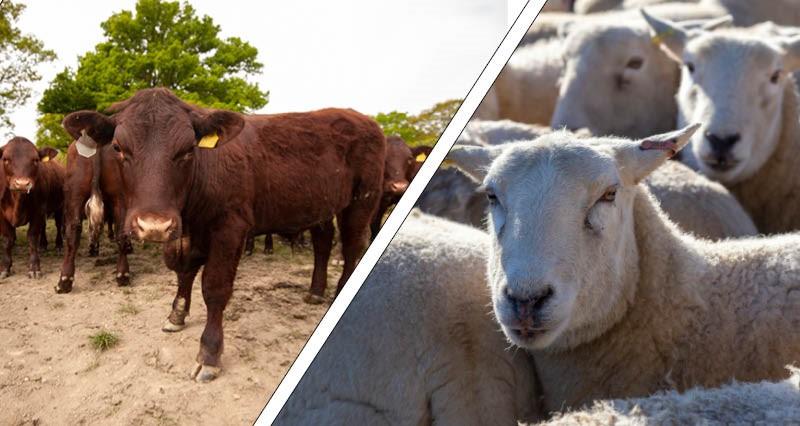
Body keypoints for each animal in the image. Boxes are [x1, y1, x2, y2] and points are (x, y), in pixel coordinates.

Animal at [0, 137, 65, 278]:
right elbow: (7, 239)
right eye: (6, 159)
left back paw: (59, 246)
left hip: (60, 206)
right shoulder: (1, 214)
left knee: (58, 225)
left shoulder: (38, 211)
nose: (22, 184)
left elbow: (32, 237)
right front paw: (5, 268)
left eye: (35, 160)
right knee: (44, 226)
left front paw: (34, 268)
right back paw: (43, 245)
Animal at [54, 139, 131, 293]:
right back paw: (123, 274)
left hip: (74, 194)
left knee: (73, 231)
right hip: (118, 195)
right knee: (119, 229)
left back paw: (64, 281)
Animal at [62, 88, 386, 382]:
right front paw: (177, 315)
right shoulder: (187, 232)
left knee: (353, 246)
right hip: (320, 206)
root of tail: (364, 120)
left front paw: (209, 354)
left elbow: (214, 288)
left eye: (188, 150)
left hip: (362, 200)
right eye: (118, 147)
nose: (154, 225)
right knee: (323, 243)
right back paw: (316, 291)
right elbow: (184, 271)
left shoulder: (230, 227)